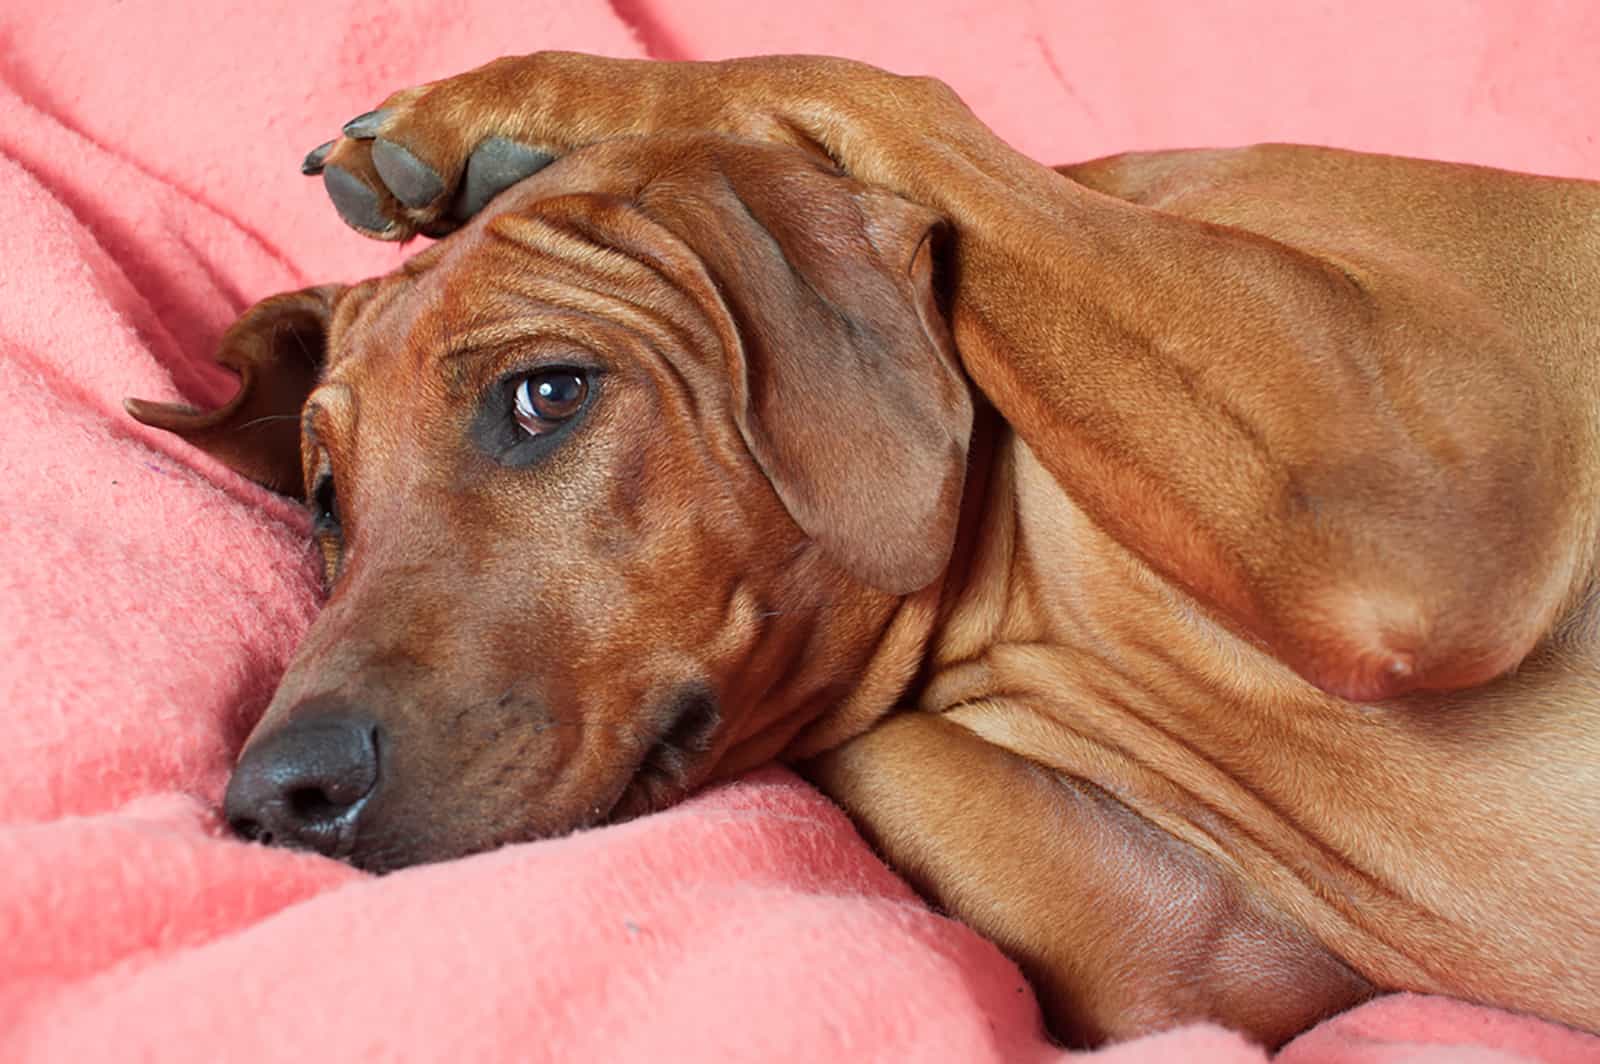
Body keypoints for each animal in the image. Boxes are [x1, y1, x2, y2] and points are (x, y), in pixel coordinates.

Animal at [128, 54, 1600, 1043]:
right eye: (327, 500)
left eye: (547, 394)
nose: (277, 800)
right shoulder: (1204, 959)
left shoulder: (1404, 492)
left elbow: (862, 79)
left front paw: (497, 107)